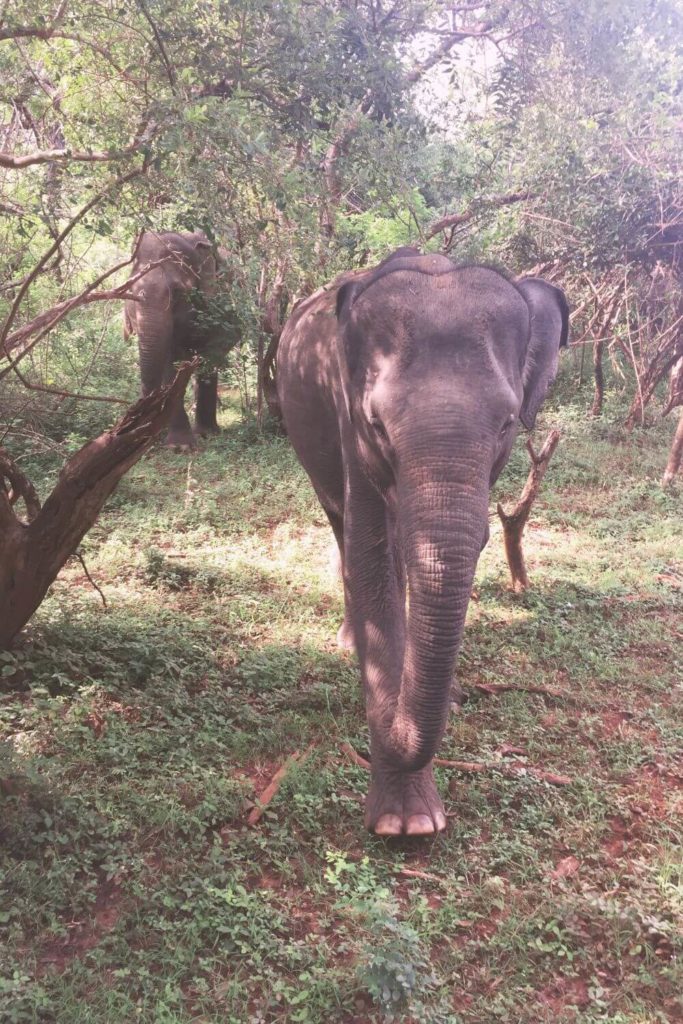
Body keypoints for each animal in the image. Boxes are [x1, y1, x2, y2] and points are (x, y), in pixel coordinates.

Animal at [123, 232, 240, 448]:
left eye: (177, 292)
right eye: (131, 293)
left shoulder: (219, 304)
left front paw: (181, 446)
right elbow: (171, 361)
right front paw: (177, 445)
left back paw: (207, 433)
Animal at [274, 247, 569, 831]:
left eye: (507, 423)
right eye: (377, 424)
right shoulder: (347, 423)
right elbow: (370, 555)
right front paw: (405, 825)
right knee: (340, 525)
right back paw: (350, 641)